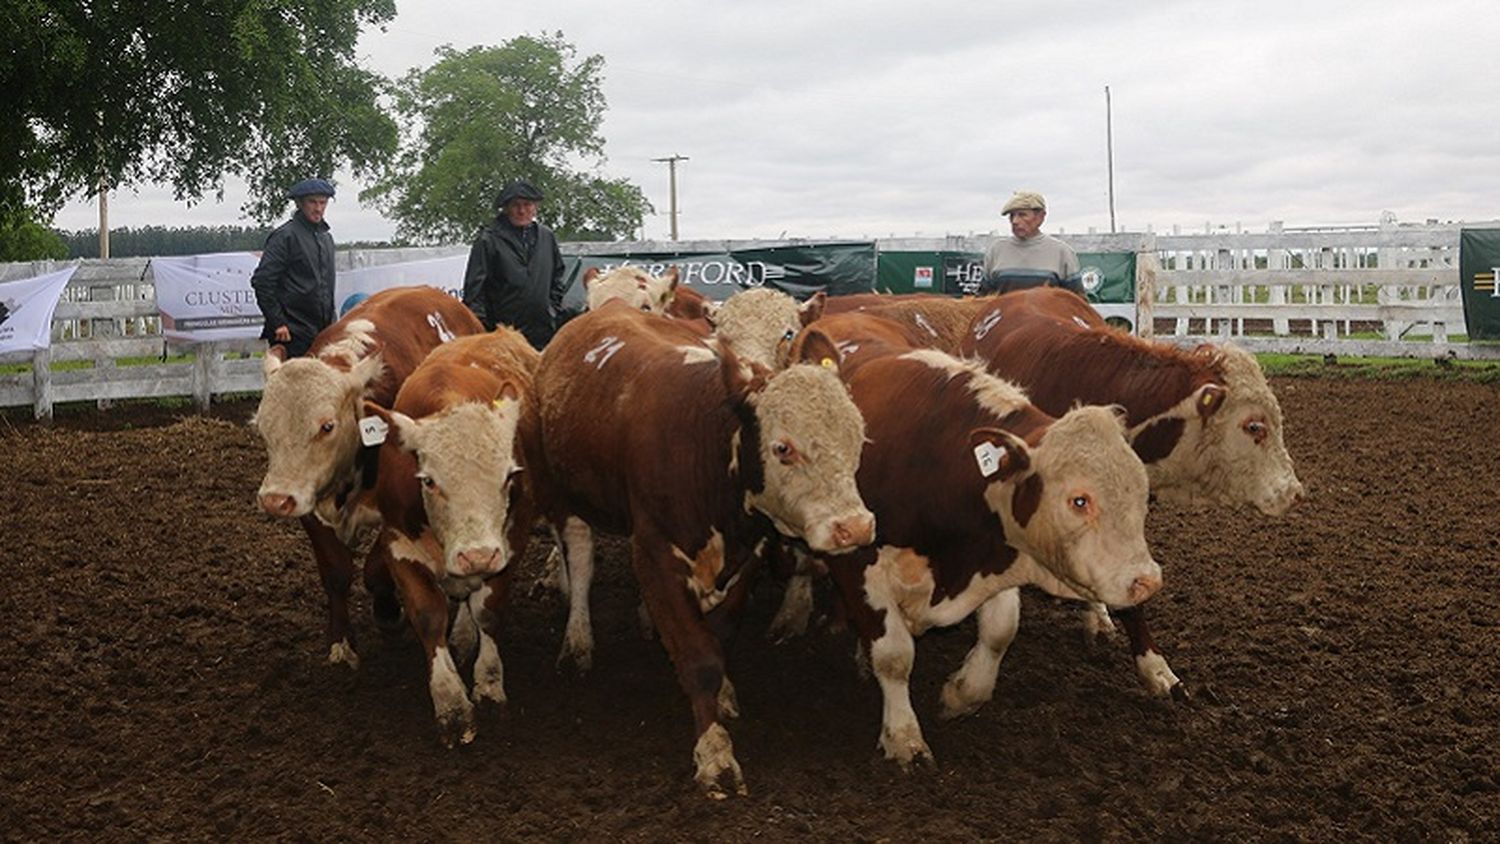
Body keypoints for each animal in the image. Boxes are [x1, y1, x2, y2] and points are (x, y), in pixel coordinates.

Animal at [249, 287, 477, 671]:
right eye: (263, 426)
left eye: (327, 426)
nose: (275, 501)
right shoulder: (309, 501)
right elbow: (336, 572)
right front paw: (341, 641)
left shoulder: (399, 510)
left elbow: (375, 570)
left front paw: (388, 613)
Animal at [360, 328, 543, 746]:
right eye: (428, 480)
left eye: (509, 476)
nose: (476, 556)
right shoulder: (398, 542)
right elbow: (429, 616)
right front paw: (451, 703)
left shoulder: (509, 544)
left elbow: (489, 612)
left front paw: (488, 686)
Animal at [822, 346, 1158, 767]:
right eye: (1079, 501)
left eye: (1144, 494)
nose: (1148, 581)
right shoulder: (856, 560)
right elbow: (894, 655)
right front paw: (904, 739)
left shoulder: (995, 553)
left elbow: (1000, 632)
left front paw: (959, 695)